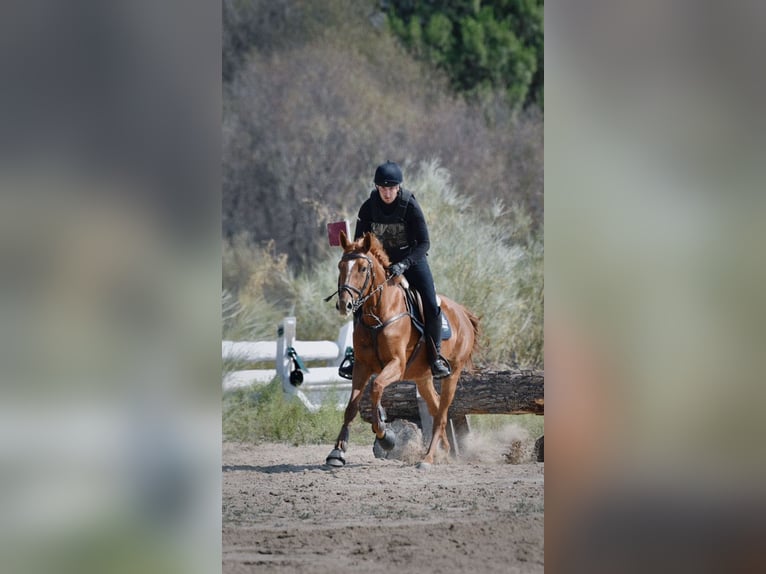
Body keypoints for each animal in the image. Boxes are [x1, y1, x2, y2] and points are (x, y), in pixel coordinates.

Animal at [326, 232, 480, 470]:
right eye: (340, 266)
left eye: (363, 268)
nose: (345, 304)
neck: (378, 313)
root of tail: (463, 312)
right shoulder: (361, 367)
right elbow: (351, 407)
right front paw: (337, 452)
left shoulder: (396, 365)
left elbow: (377, 388)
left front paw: (385, 436)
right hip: (422, 377)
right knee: (436, 408)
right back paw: (444, 450)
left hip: (452, 374)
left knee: (441, 414)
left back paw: (427, 458)